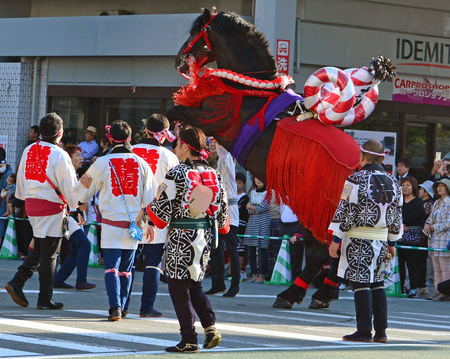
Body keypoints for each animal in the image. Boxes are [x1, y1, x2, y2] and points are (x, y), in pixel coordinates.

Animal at [167, 7, 396, 310]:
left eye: (196, 31)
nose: (179, 60)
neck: (253, 91)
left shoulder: (213, 118)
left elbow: (175, 111)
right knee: (336, 253)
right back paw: (322, 293)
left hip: (312, 206)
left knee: (321, 253)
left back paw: (293, 293)